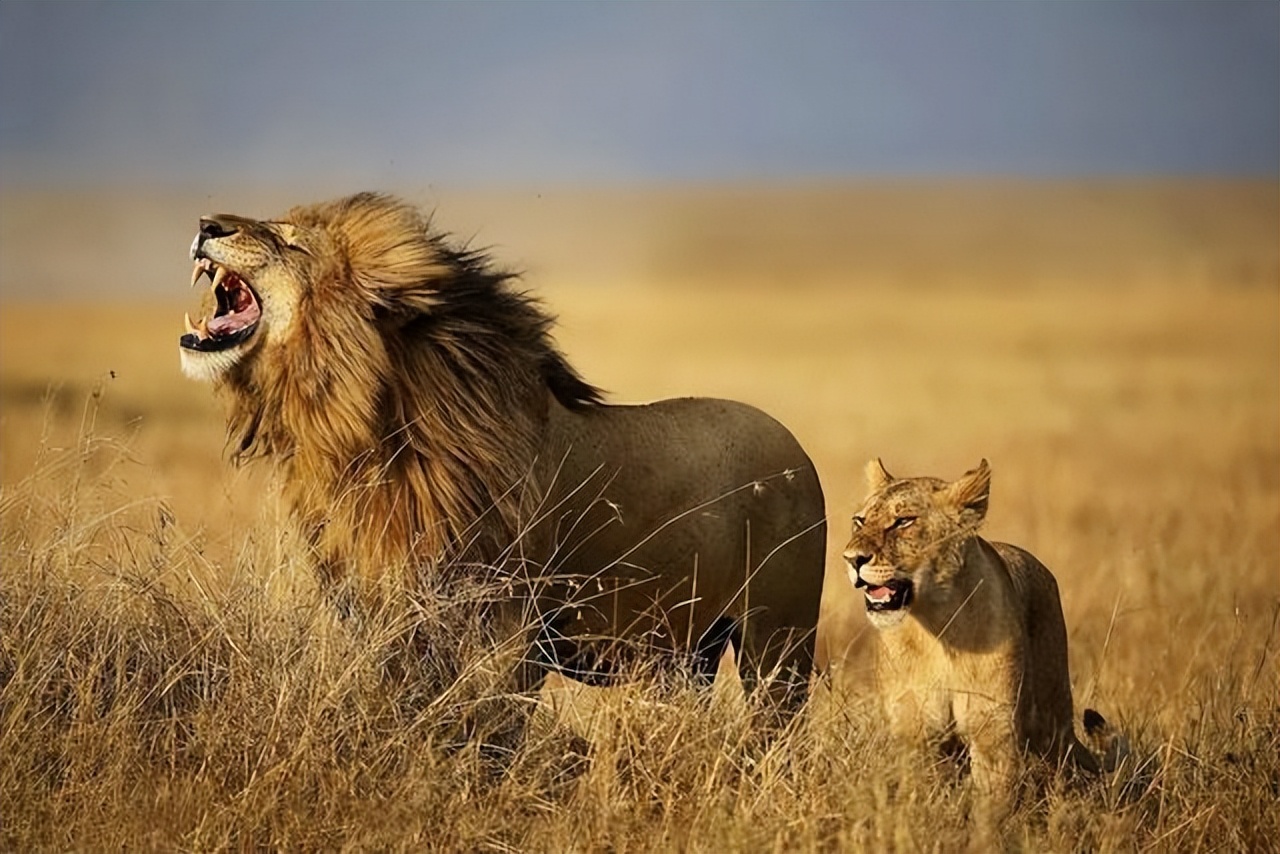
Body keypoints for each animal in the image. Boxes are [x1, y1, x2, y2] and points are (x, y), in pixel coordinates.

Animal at [179, 192, 826, 711]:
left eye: (290, 240)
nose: (207, 223)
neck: (366, 438)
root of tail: (799, 452)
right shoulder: (380, 612)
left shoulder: (511, 627)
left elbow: (488, 728)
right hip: (688, 652)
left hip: (779, 643)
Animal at [842, 458, 1125, 816]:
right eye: (859, 521)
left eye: (903, 521)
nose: (852, 559)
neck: (937, 627)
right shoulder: (914, 730)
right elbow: (918, 792)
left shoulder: (993, 729)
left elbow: (991, 805)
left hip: (1052, 719)